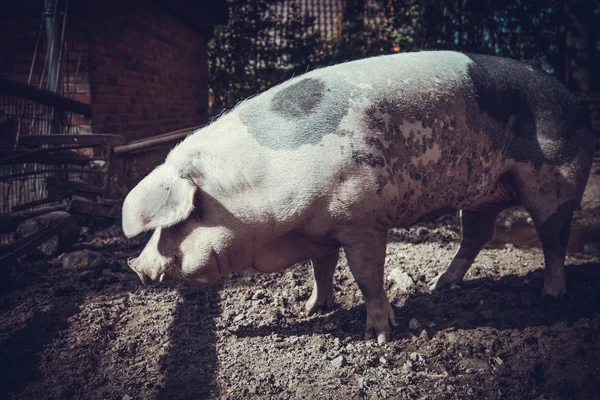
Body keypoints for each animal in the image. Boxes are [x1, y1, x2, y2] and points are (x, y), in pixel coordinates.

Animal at [122, 50, 596, 344]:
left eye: (179, 221)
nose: (136, 266)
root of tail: (576, 101)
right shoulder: (319, 230)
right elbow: (322, 269)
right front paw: (313, 308)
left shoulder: (361, 220)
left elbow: (366, 276)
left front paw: (379, 336)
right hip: (480, 195)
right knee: (478, 234)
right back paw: (440, 285)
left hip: (557, 182)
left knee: (553, 239)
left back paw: (550, 296)